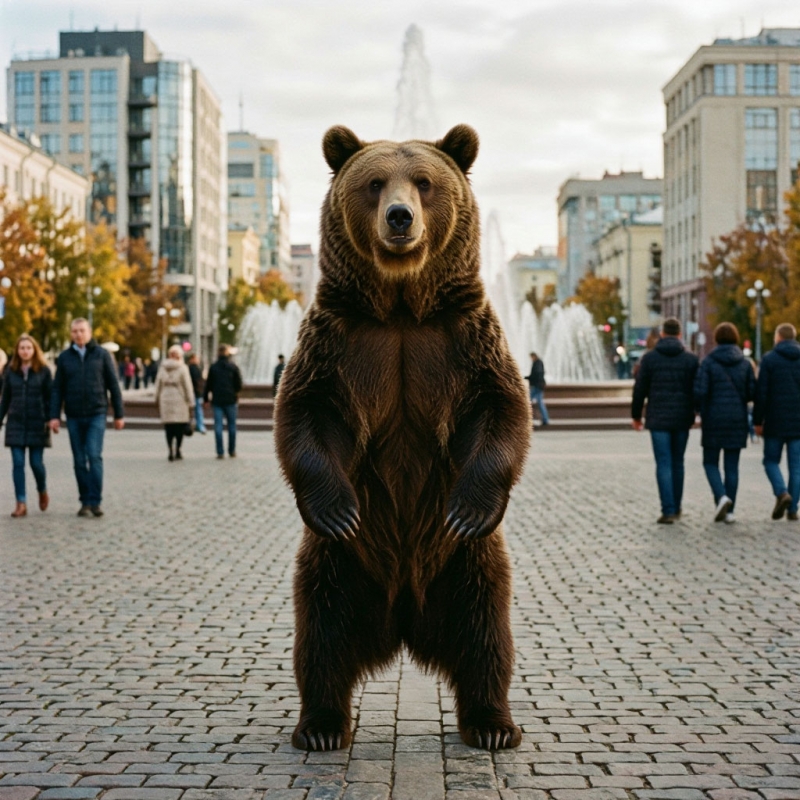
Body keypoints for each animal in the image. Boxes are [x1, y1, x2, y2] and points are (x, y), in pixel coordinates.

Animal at [274, 124, 532, 752]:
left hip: (468, 563)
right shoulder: (337, 342)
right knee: (320, 630)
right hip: (337, 564)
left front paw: (468, 505)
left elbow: (502, 407)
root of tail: (404, 620)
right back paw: (320, 725)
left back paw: (493, 723)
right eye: (373, 183)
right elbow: (303, 412)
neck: (399, 307)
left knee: (487, 630)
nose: (399, 216)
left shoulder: (463, 339)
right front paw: (338, 507)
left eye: (424, 181)